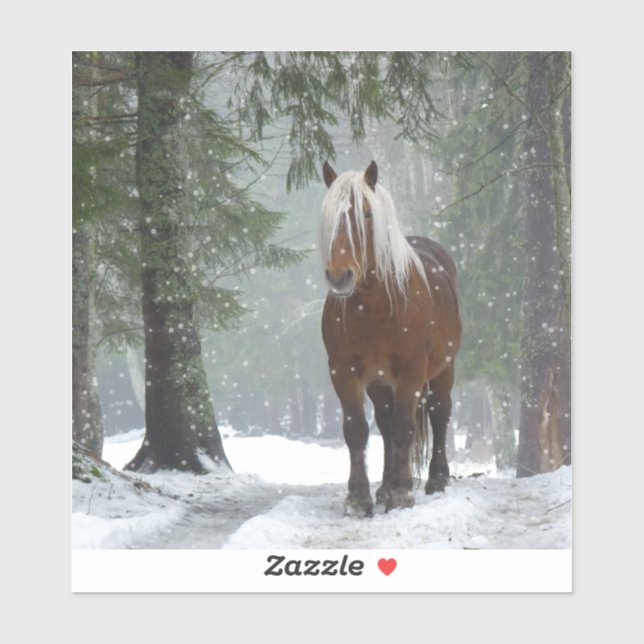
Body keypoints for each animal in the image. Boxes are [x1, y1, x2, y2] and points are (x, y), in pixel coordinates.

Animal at [320, 160, 462, 517]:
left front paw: (402, 494)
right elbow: (357, 430)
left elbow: (404, 428)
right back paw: (384, 487)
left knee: (439, 414)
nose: (340, 276)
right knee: (384, 425)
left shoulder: (412, 371)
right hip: (379, 382)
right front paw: (359, 498)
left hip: (443, 369)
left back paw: (435, 480)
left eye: (367, 214)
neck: (375, 306)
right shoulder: (343, 372)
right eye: (329, 216)